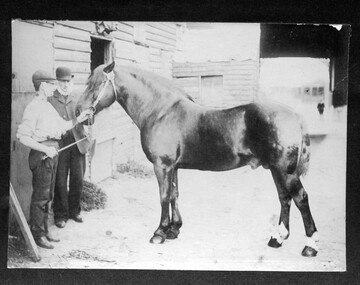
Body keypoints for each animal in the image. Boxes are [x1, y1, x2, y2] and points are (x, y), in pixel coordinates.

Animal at [76, 61, 318, 256]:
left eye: (96, 84)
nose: (79, 112)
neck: (160, 111)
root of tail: (295, 116)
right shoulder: (173, 167)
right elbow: (174, 194)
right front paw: (174, 229)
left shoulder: (162, 165)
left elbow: (163, 196)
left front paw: (159, 233)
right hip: (276, 169)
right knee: (284, 199)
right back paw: (277, 239)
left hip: (285, 170)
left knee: (300, 198)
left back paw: (310, 246)